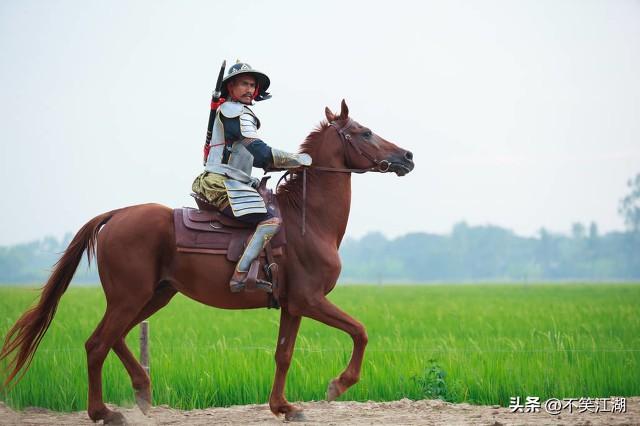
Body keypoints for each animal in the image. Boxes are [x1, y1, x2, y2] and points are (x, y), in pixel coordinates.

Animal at [0, 100, 416, 422]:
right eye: (365, 132)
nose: (407, 156)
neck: (308, 220)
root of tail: (117, 215)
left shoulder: (293, 305)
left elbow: (283, 354)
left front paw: (283, 407)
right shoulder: (310, 300)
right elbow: (360, 331)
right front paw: (337, 385)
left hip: (153, 296)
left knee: (112, 338)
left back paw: (142, 392)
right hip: (129, 298)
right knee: (97, 344)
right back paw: (104, 412)